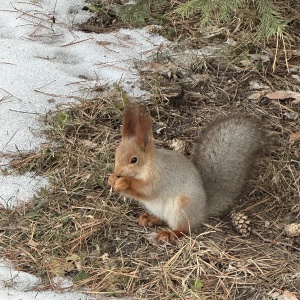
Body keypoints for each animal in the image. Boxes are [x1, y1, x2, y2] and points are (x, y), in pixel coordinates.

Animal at [107, 104, 264, 243]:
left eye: (134, 160)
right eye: (116, 153)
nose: (118, 172)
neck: (148, 166)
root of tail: (201, 212)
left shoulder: (159, 179)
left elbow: (146, 190)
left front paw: (124, 182)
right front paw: (111, 179)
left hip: (182, 208)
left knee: (184, 230)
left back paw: (168, 234)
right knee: (165, 219)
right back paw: (150, 219)